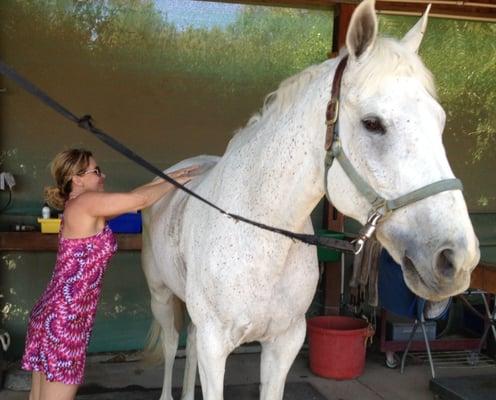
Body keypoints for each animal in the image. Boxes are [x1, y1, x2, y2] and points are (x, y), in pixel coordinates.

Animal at [141, 1, 478, 398]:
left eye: (439, 121)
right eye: (372, 123)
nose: (457, 258)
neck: (259, 235)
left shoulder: (284, 343)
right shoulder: (215, 345)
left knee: (189, 342)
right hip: (162, 296)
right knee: (171, 342)